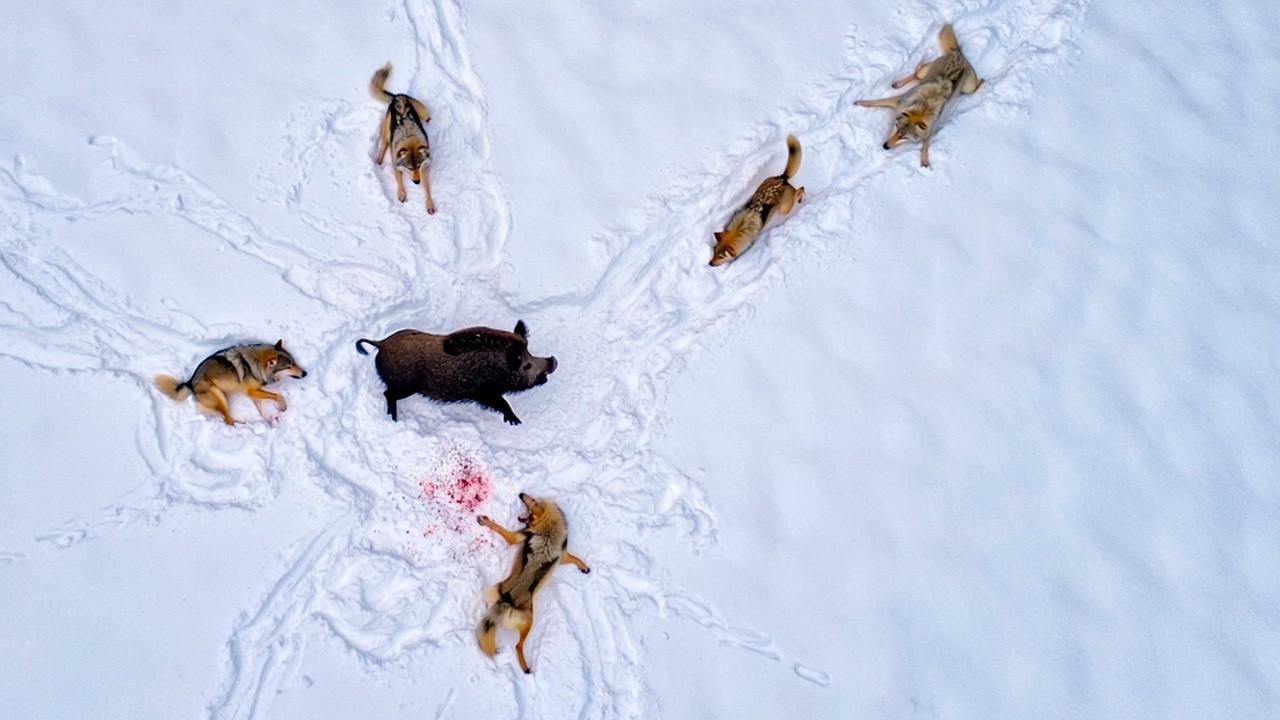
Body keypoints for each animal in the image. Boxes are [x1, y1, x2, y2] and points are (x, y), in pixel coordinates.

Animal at [355, 320, 557, 424]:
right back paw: (395, 419)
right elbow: (503, 403)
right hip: (405, 385)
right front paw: (516, 422)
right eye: (526, 365)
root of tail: (381, 344)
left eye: (530, 352)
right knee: (387, 394)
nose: (553, 360)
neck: (497, 368)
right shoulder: (484, 393)